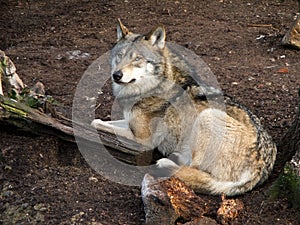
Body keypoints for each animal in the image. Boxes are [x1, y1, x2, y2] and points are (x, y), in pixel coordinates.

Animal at [92, 19, 276, 195]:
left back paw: (166, 163)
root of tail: (261, 169)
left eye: (137, 59)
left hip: (206, 118)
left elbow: (99, 125)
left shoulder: (142, 140)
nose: (116, 75)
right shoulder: (130, 123)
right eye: (119, 56)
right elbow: (102, 121)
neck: (152, 87)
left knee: (194, 171)